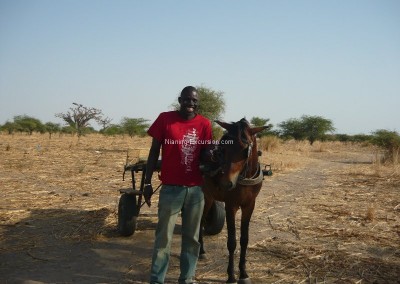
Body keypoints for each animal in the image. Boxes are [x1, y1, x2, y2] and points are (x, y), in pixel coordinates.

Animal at [199, 118, 268, 284]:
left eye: (245, 149)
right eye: (223, 147)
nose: (226, 183)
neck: (245, 177)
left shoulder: (249, 205)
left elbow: (244, 240)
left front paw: (243, 273)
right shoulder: (231, 206)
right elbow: (231, 242)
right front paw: (231, 276)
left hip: (210, 197)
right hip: (204, 197)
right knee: (200, 221)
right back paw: (201, 251)